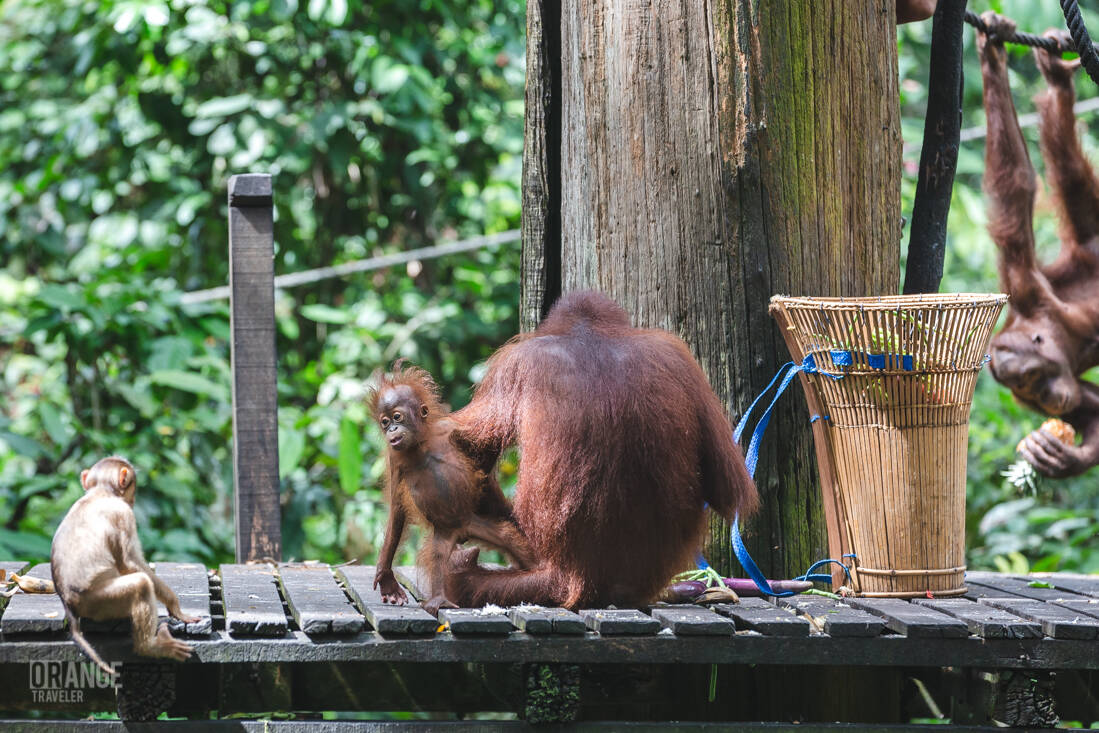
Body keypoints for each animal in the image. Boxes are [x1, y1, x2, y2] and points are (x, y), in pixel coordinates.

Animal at [50, 456, 197, 674]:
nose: (133, 500)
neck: (100, 492)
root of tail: (69, 603)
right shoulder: (124, 514)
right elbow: (129, 562)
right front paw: (174, 605)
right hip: (99, 602)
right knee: (141, 584)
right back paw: (149, 648)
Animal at [369, 362, 537, 616]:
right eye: (384, 421)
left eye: (397, 416)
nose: (391, 430)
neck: (421, 443)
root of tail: (462, 531)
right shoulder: (394, 458)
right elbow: (397, 510)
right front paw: (386, 576)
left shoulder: (449, 428)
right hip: (445, 531)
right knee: (439, 556)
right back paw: (439, 598)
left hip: (474, 522)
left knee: (509, 538)